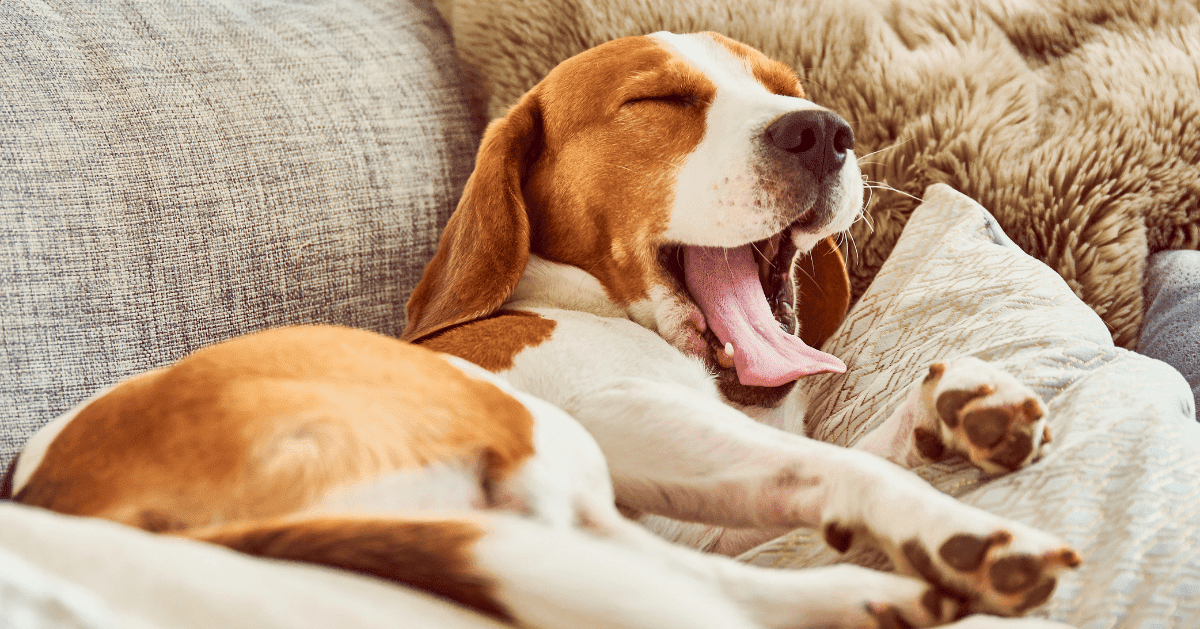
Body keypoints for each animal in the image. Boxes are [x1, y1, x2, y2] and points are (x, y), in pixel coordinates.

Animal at [4, 33, 1080, 629]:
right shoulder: (620, 414)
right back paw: (945, 557)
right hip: (538, 439)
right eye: (659, 99)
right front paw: (937, 512)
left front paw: (951, 412)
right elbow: (834, 466)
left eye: (784, 84)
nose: (821, 129)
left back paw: (872, 595)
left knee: (683, 587)